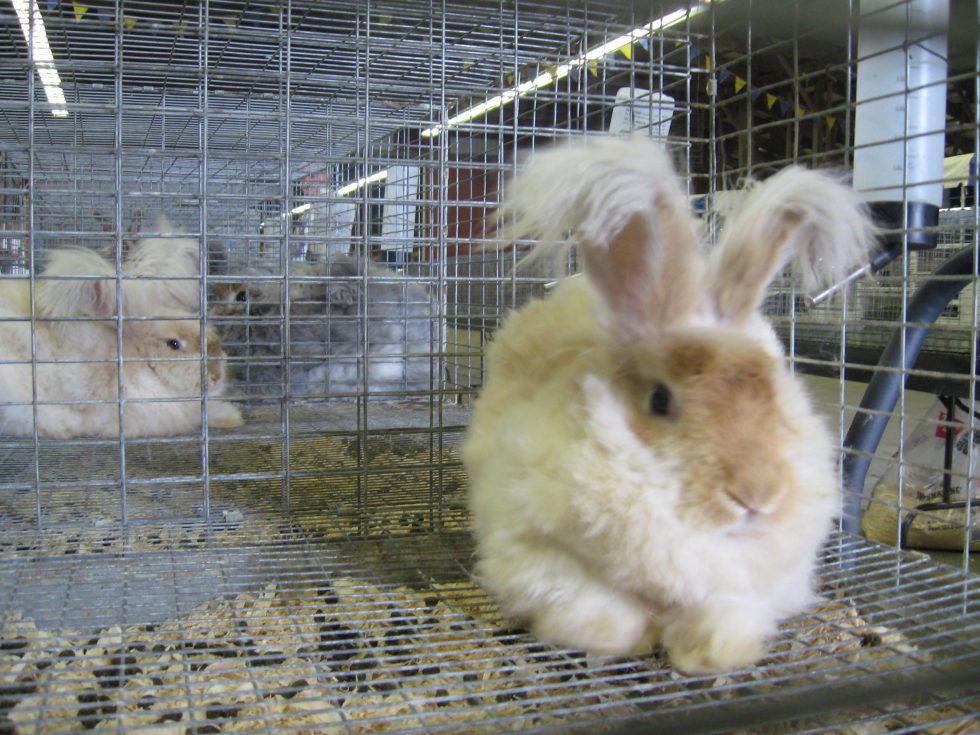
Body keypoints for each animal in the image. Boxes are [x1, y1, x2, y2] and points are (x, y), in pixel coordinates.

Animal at [461, 137, 877, 674]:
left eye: (774, 392)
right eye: (660, 400)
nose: (757, 496)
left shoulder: (753, 587)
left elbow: (727, 625)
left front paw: (701, 649)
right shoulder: (539, 557)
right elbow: (605, 619)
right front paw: (641, 638)